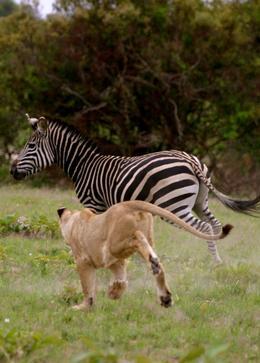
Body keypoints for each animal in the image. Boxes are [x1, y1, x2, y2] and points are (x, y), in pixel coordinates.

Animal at [11, 116, 258, 264]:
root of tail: (191, 160)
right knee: (215, 224)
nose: (12, 171)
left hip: (174, 205)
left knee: (204, 226)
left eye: (30, 146)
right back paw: (218, 260)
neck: (84, 166)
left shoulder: (93, 203)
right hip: (199, 201)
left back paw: (213, 260)